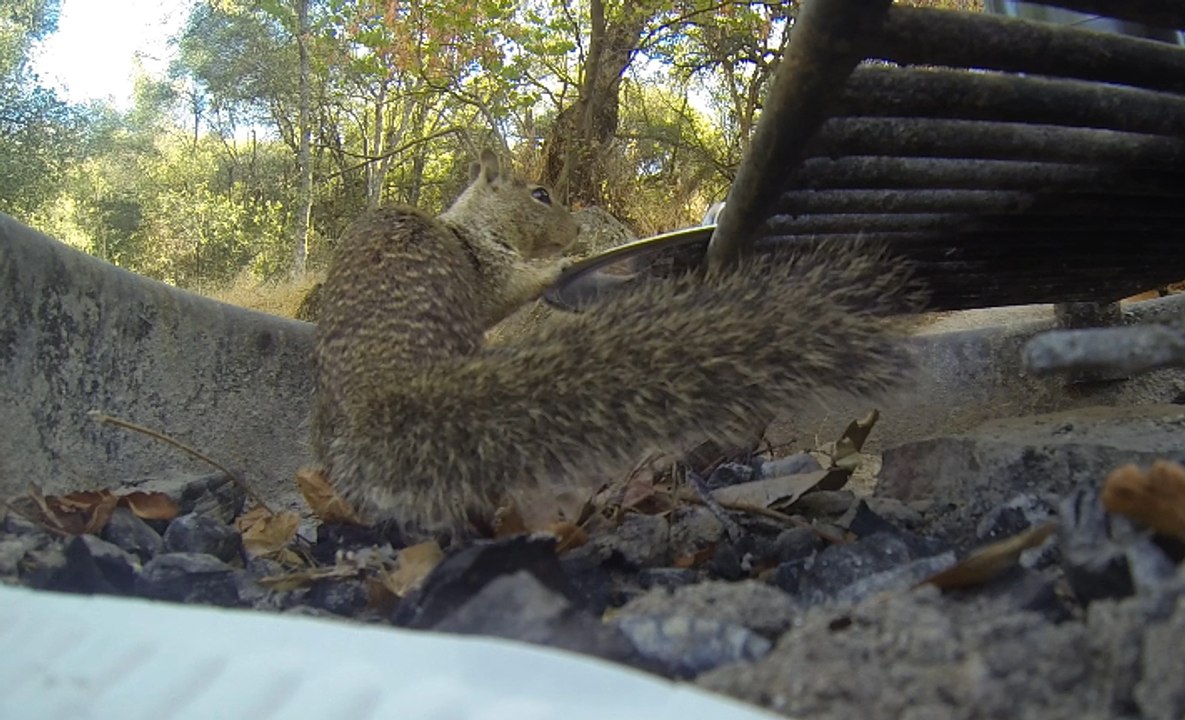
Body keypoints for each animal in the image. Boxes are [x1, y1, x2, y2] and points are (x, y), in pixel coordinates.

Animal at [312, 151, 922, 537]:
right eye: (540, 195)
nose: (576, 231)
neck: (465, 224)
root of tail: (384, 398)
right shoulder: (491, 269)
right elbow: (517, 284)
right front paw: (563, 263)